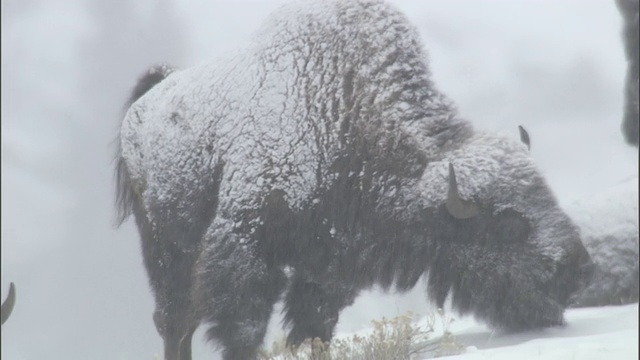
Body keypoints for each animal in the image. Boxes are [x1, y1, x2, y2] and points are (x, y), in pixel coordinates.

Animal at [115, 0, 596, 360]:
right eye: (507, 223)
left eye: (544, 192)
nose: (577, 268)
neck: (345, 113)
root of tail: (146, 103)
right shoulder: (245, 246)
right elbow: (244, 327)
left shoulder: (331, 267)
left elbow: (314, 327)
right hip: (162, 243)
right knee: (175, 320)